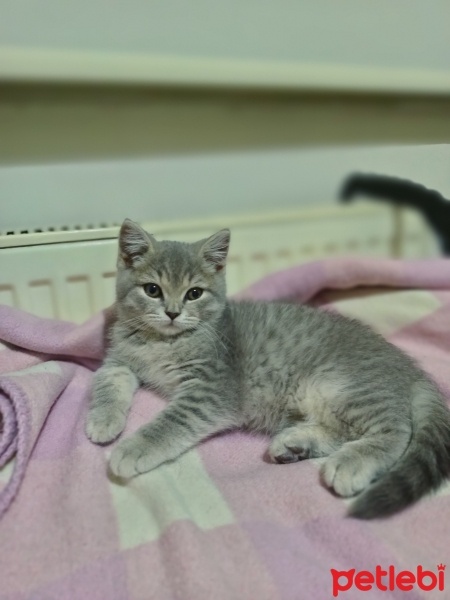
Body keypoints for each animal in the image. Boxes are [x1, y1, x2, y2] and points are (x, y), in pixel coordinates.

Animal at [85, 218, 450, 516]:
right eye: (152, 290)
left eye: (194, 293)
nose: (173, 312)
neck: (163, 342)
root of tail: (407, 366)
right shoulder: (119, 361)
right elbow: (108, 382)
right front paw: (104, 419)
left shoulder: (213, 389)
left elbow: (173, 421)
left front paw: (134, 447)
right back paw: (295, 446)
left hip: (343, 386)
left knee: (396, 430)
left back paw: (351, 463)